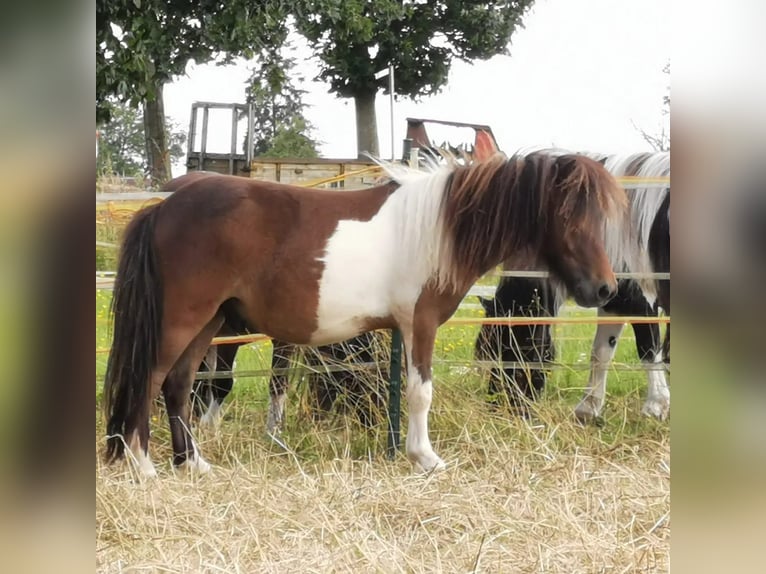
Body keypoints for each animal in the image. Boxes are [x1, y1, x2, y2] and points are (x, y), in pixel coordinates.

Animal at [103, 152, 632, 476]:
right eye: (569, 216)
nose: (606, 287)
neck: (438, 228)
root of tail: (163, 207)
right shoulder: (419, 323)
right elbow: (420, 392)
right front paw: (425, 457)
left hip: (210, 321)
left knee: (178, 386)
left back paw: (193, 464)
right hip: (182, 318)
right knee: (150, 379)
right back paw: (144, 466)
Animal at [476, 153, 668, 424]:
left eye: (512, 346)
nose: (498, 408)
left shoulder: (643, 303)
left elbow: (648, 349)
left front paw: (656, 405)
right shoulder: (614, 302)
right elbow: (600, 352)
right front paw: (588, 409)